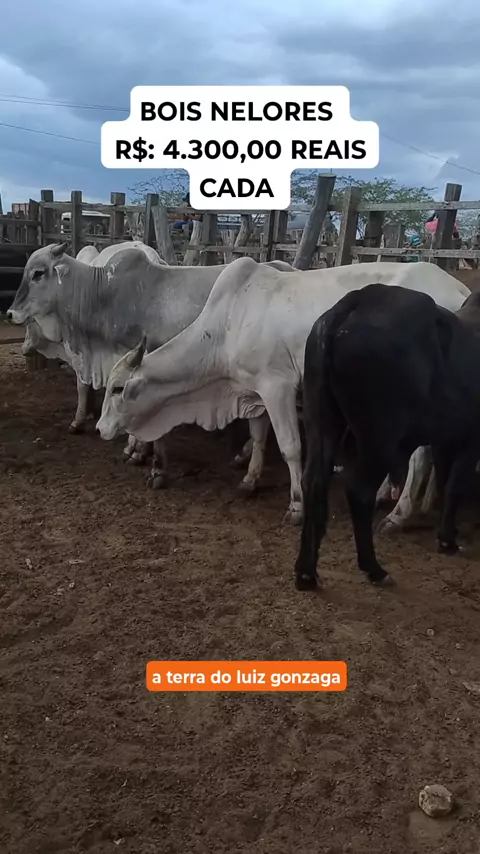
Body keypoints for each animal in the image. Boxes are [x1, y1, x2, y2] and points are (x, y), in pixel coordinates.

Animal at [95, 257, 470, 525]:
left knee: (420, 455)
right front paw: (250, 480)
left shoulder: (278, 386)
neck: (227, 324)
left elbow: (290, 447)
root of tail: (460, 293)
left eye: (117, 388)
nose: (100, 428)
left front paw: (296, 506)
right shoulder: (255, 391)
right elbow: (259, 435)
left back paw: (399, 514)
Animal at [294, 283, 480, 591]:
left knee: (313, 482)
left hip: (321, 422)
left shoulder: (445, 440)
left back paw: (306, 573)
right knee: (359, 492)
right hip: (379, 440)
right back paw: (374, 569)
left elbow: (445, 483)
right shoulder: (469, 439)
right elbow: (454, 486)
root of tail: (357, 301)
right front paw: (448, 540)